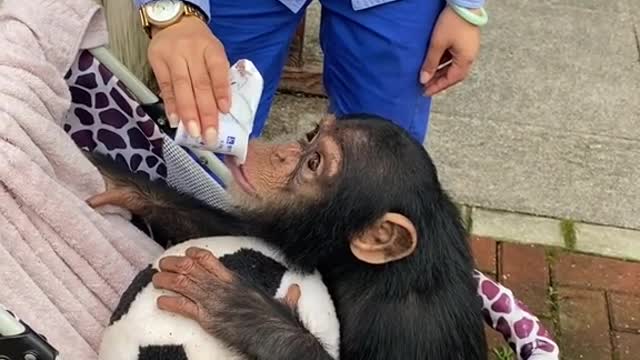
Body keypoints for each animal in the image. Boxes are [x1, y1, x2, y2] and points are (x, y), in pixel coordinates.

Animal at [86, 114, 484, 360]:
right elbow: (244, 232)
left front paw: (240, 309)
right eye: (311, 137)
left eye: (313, 163)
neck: (364, 268)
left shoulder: (410, 329)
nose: (282, 153)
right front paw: (125, 186)